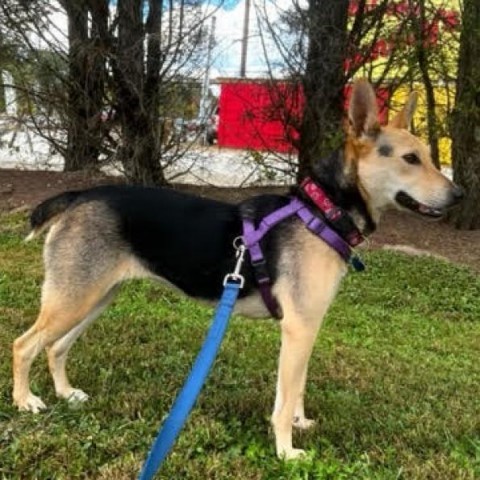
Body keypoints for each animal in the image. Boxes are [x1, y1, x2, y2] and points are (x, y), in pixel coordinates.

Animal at [11, 80, 462, 460]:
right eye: (410, 159)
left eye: (428, 157)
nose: (459, 195)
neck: (321, 212)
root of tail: (79, 195)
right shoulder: (298, 328)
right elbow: (284, 398)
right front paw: (286, 450)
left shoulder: (308, 328)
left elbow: (297, 387)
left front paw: (300, 422)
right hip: (74, 298)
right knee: (23, 345)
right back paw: (25, 401)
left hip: (94, 297)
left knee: (55, 347)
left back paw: (65, 393)